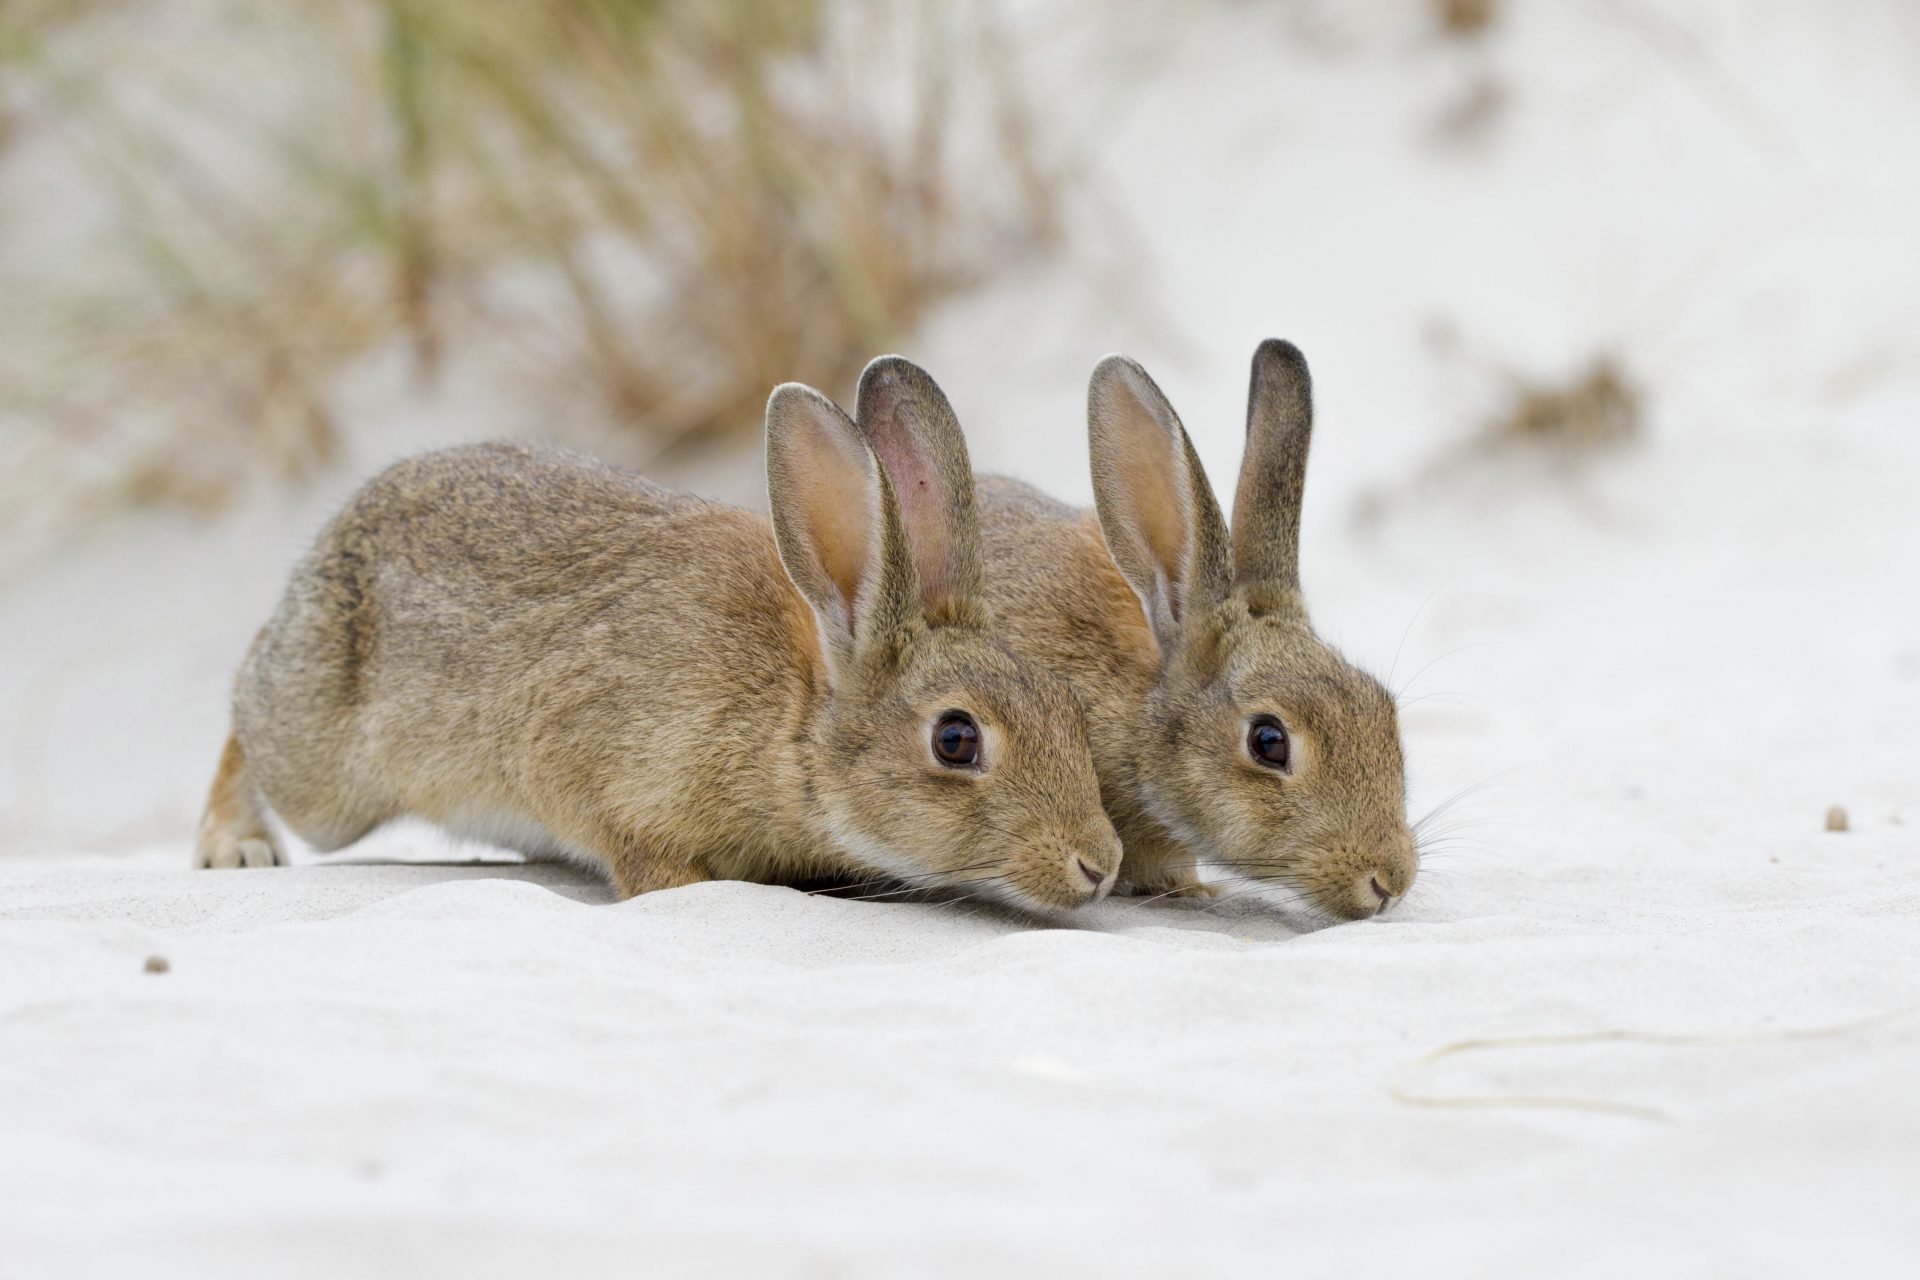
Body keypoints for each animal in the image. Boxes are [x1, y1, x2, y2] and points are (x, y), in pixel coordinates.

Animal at [187, 376, 1121, 917]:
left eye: (1069, 708)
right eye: (956, 739)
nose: (1100, 864)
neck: (792, 719)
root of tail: (341, 528)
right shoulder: (604, 773)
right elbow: (647, 861)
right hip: (329, 777)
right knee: (248, 710)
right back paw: (235, 847)